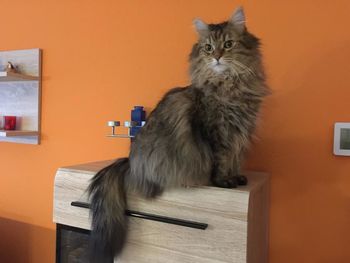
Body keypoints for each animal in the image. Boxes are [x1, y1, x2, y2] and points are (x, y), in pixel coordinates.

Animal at [89, 7, 270, 262]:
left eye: (228, 44)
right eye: (208, 47)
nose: (217, 57)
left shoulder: (240, 134)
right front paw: (224, 182)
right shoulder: (219, 133)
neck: (229, 86)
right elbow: (223, 161)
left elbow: (236, 160)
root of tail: (130, 162)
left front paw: (237, 177)